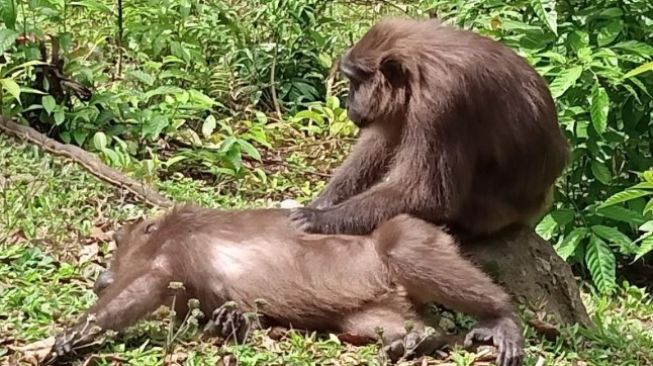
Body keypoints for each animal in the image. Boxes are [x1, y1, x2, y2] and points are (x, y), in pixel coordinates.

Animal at [54, 204, 524, 364]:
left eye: (118, 242)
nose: (102, 277)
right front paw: (228, 323)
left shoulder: (175, 246)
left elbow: (147, 284)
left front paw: (75, 332)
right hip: (380, 302)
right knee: (369, 321)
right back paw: (419, 339)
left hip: (415, 239)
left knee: (402, 246)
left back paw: (500, 317)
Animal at [288, 17, 568, 237]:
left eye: (355, 82)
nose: (348, 104)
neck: (417, 71)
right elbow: (382, 141)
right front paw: (324, 202)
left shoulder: (441, 105)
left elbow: (429, 194)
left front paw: (321, 218)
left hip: (497, 212)